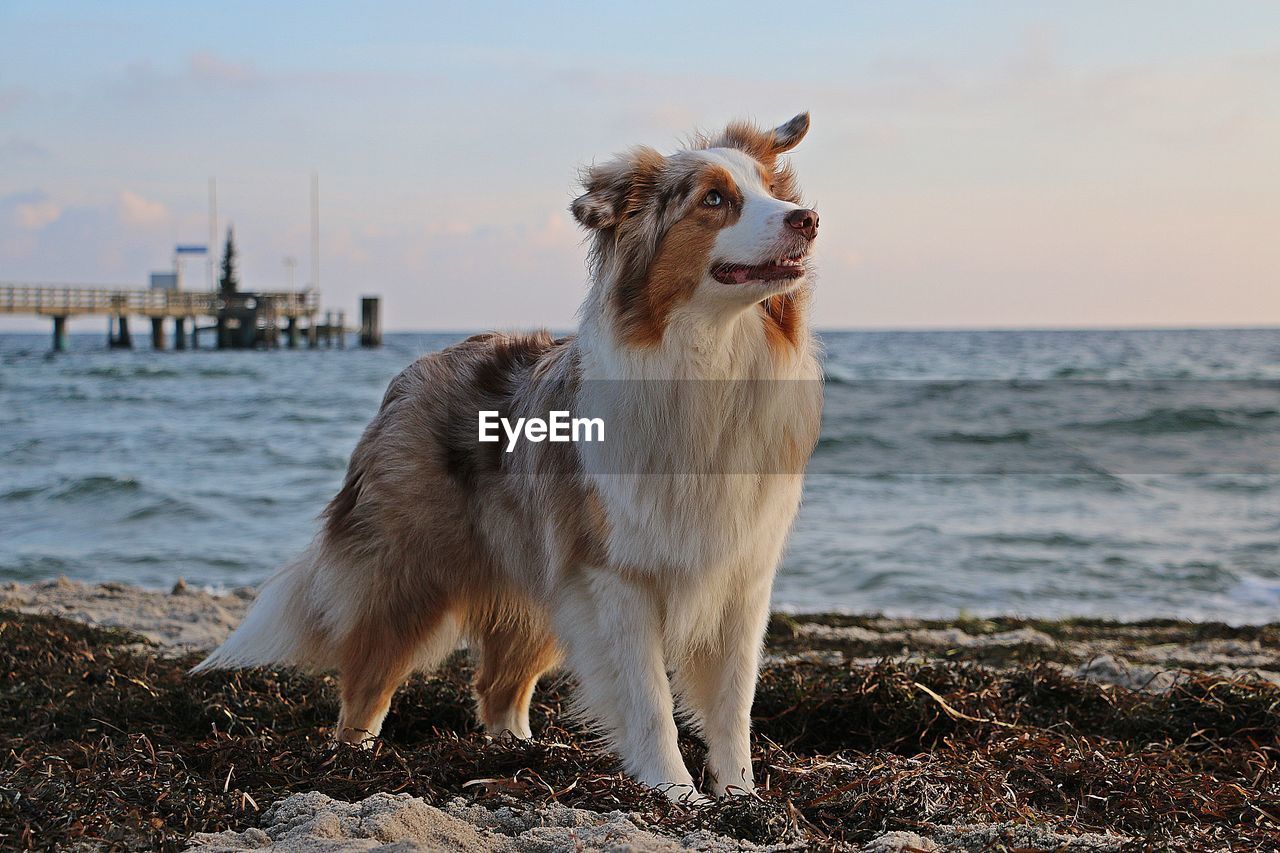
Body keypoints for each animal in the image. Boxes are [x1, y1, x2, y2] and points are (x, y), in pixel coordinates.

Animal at [194, 112, 824, 799]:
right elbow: (649, 699)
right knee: (366, 683)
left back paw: (519, 755)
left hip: (538, 588)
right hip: (407, 575)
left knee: (497, 689)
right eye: (714, 199)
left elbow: (734, 705)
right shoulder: (614, 576)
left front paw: (741, 798)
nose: (809, 218)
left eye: (769, 189)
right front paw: (673, 793)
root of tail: (410, 374)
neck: (710, 357)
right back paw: (355, 762)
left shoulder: (740, 574)